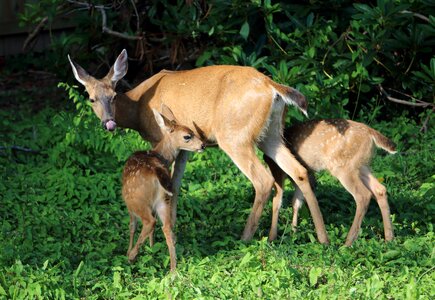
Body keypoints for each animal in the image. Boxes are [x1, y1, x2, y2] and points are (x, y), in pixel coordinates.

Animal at [67, 48, 328, 244]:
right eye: (92, 99)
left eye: (113, 96)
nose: (109, 123)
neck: (138, 107)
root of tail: (272, 87)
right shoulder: (184, 144)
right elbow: (176, 184)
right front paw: (173, 228)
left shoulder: (159, 137)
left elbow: (166, 183)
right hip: (271, 134)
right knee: (300, 171)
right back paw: (321, 237)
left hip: (234, 136)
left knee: (263, 180)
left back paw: (245, 237)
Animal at [264, 119, 396, 246]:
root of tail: (370, 133)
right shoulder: (305, 174)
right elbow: (296, 201)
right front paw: (293, 231)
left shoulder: (277, 169)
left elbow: (277, 201)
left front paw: (272, 238)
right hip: (362, 166)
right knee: (380, 189)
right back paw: (389, 238)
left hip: (343, 167)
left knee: (363, 195)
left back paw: (348, 242)